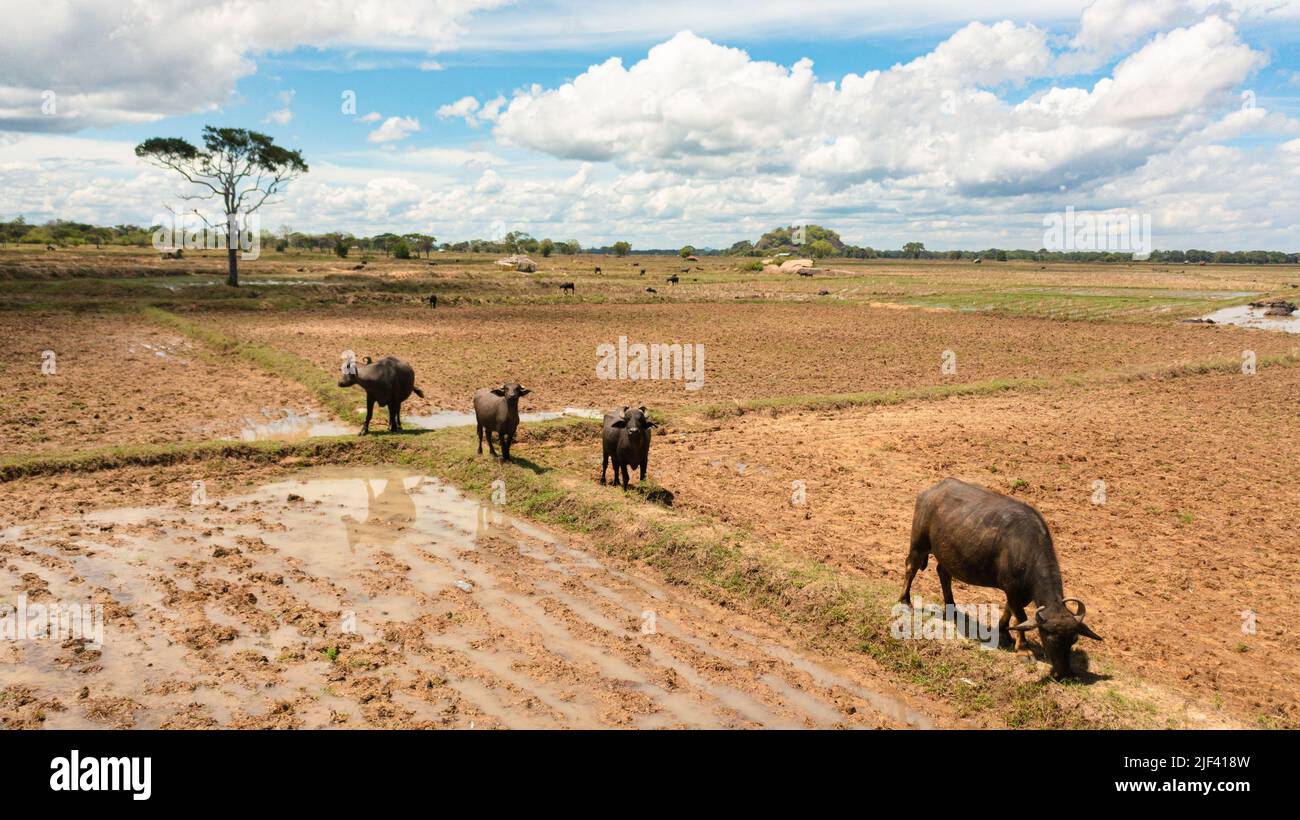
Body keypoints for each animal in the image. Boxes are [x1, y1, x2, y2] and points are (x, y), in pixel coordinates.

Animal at [898, 478, 1101, 678]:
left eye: (1073, 639)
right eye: (1049, 639)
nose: (1064, 674)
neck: (1025, 548)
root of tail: (929, 491)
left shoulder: (1022, 593)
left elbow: (1010, 611)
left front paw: (1003, 632)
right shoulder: (1012, 588)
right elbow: (1020, 616)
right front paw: (1024, 650)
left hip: (947, 554)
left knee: (943, 572)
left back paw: (952, 608)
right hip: (919, 544)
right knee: (911, 567)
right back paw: (905, 601)